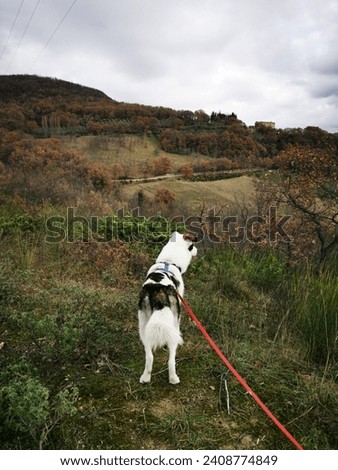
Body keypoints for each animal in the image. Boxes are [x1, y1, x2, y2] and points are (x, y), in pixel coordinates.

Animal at [138, 229, 197, 384]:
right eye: (192, 246)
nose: (197, 251)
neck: (168, 263)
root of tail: (159, 289)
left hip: (143, 324)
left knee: (149, 356)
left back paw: (145, 377)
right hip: (175, 326)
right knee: (171, 359)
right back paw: (173, 378)